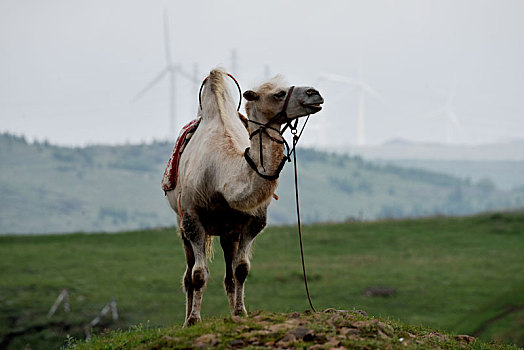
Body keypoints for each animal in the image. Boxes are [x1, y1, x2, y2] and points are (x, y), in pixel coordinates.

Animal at [168, 68, 324, 326]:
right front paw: (193, 320)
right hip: (182, 223)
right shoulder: (192, 217)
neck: (220, 175)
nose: (315, 93)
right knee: (189, 273)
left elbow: (241, 268)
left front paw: (241, 312)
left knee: (229, 274)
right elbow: (199, 274)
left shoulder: (253, 220)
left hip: (228, 231)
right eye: (279, 94)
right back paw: (187, 317)